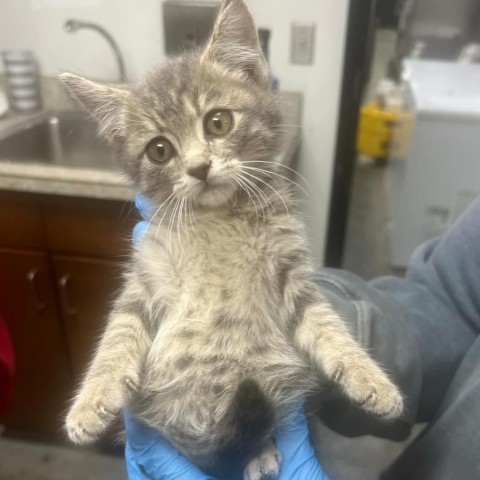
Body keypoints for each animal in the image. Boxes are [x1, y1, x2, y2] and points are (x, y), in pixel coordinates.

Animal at [62, 1, 404, 478]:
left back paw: (259, 452)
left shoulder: (290, 270)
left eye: (218, 122)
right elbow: (119, 332)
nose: (199, 168)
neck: (217, 220)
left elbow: (325, 324)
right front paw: (89, 402)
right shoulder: (146, 276)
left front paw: (371, 379)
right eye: (159, 150)